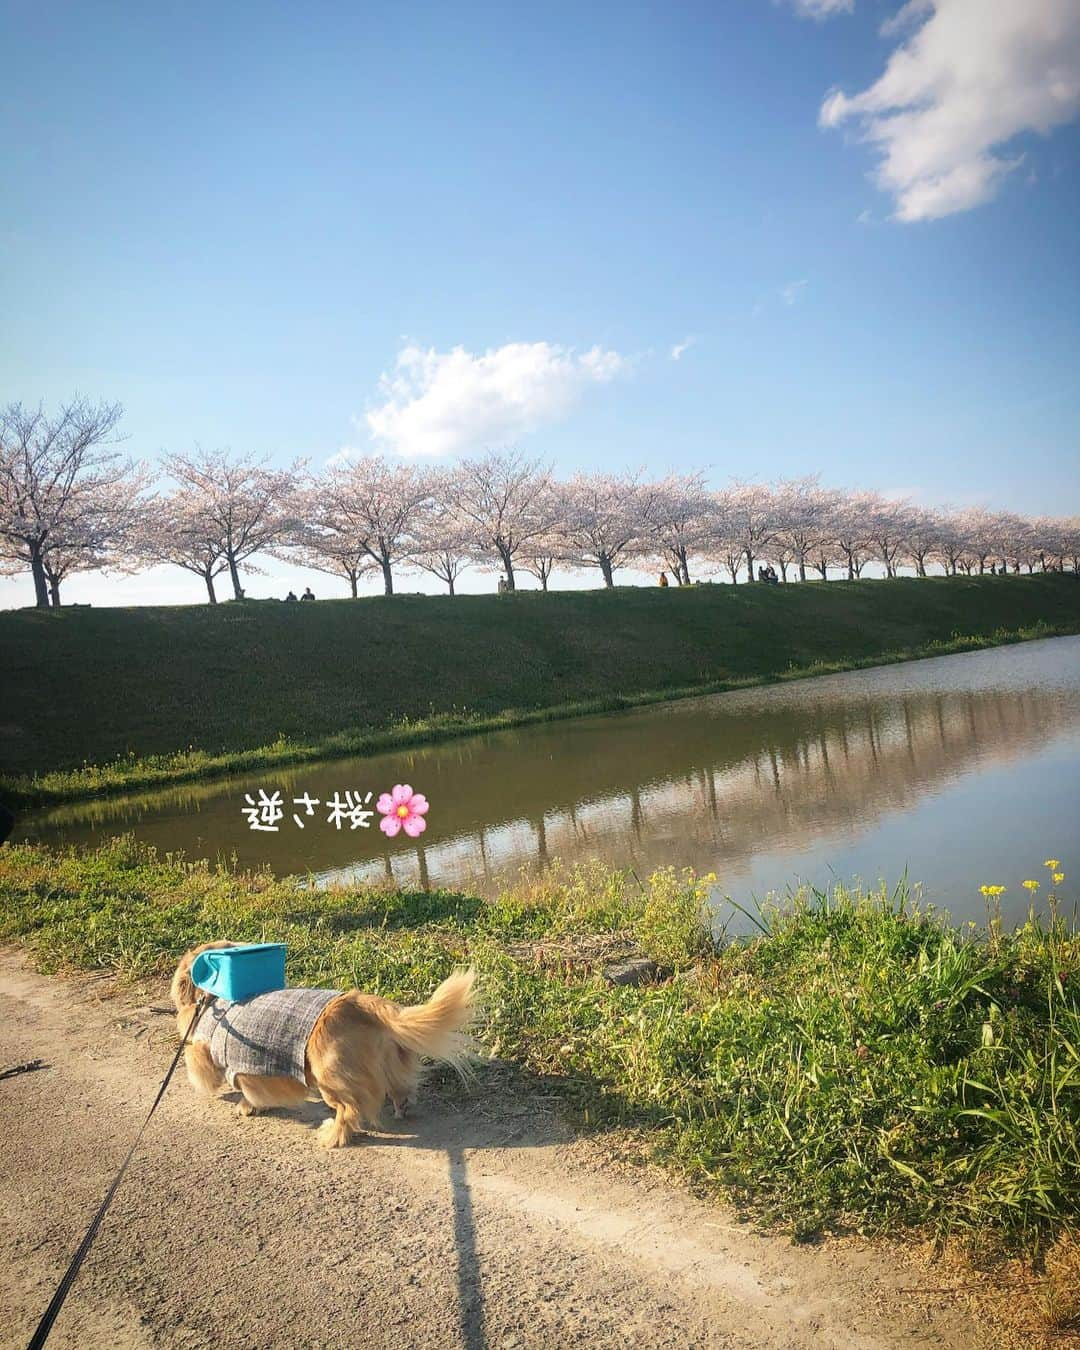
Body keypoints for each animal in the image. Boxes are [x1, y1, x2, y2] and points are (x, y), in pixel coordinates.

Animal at [170, 939, 475, 1150]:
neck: (213, 1001)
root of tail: (357, 1003)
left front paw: (247, 1106)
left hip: (328, 1077)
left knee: (348, 1111)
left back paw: (333, 1135)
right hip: (386, 1061)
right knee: (400, 1088)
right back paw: (401, 1107)